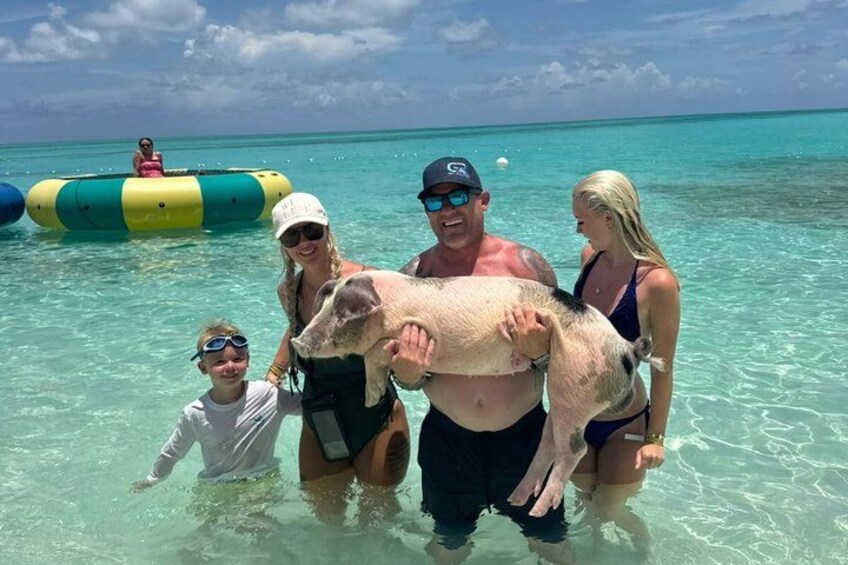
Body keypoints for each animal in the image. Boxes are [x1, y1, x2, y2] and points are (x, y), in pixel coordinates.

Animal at [290, 270, 662, 517]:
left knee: (574, 448)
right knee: (548, 442)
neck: (389, 309)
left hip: (577, 378)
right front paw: (370, 398)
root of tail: (626, 348)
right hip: (563, 392)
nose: (297, 340)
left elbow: (374, 354)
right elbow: (373, 358)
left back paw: (538, 510)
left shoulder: (409, 333)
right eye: (323, 307)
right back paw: (517, 499)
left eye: (342, 314)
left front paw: (370, 396)